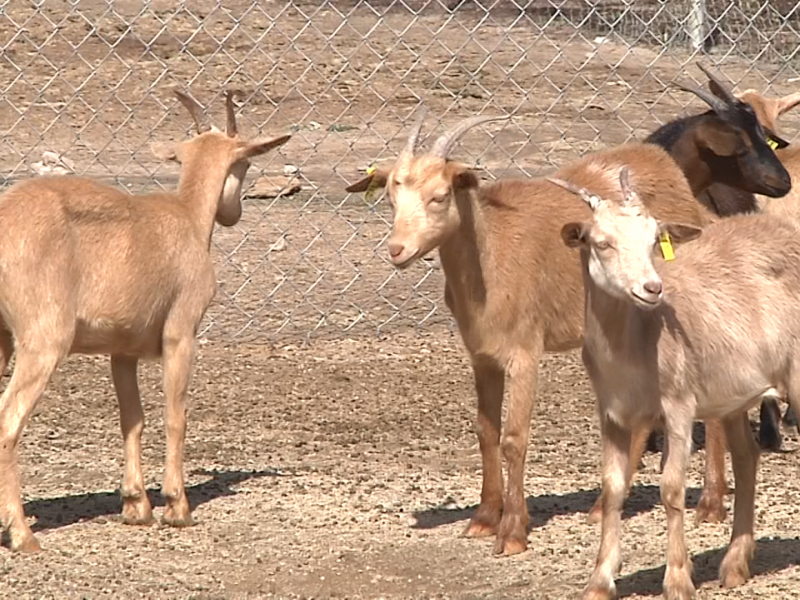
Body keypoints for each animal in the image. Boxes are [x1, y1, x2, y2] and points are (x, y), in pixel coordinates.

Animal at [0, 86, 292, 552]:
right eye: (244, 162)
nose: (234, 213)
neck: (185, 216)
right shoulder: (181, 334)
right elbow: (176, 415)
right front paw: (177, 507)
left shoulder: (123, 350)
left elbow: (132, 420)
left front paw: (136, 506)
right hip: (42, 342)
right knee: (9, 420)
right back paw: (22, 534)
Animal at [344, 109, 720, 556]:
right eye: (390, 197)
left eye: (440, 196)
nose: (397, 250)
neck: (492, 258)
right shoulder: (482, 356)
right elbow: (486, 431)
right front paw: (484, 518)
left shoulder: (525, 353)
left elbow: (514, 437)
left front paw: (512, 532)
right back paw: (604, 506)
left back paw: (711, 506)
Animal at [552, 165, 800, 600]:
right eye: (601, 243)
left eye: (655, 239)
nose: (652, 287)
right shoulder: (611, 413)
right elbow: (613, 487)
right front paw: (600, 580)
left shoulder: (679, 404)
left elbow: (671, 487)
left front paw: (678, 579)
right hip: (733, 394)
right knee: (746, 458)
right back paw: (735, 564)